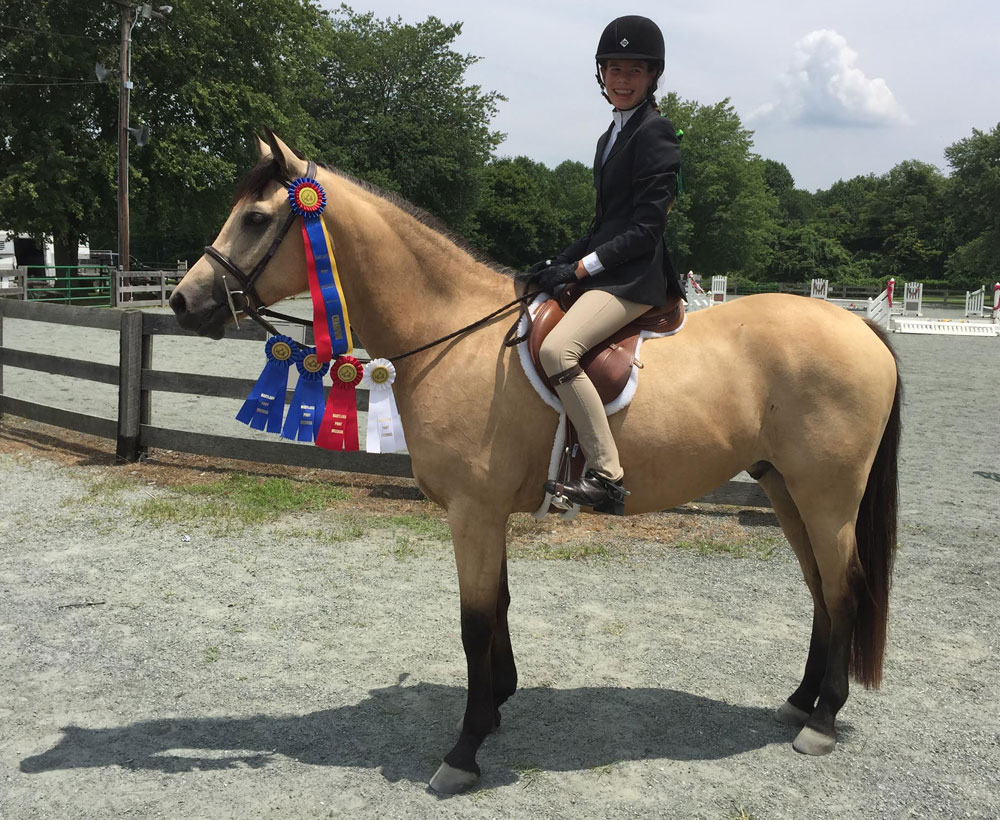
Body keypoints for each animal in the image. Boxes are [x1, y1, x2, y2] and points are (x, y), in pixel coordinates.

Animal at [174, 135, 908, 796]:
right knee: (820, 590)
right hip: (785, 490)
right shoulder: (486, 511)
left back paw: (821, 721)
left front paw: (464, 751)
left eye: (257, 218)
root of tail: (859, 327)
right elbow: (497, 604)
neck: (453, 335)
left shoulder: (472, 511)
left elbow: (473, 622)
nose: (184, 301)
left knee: (844, 588)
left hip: (826, 497)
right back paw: (800, 701)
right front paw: (498, 704)